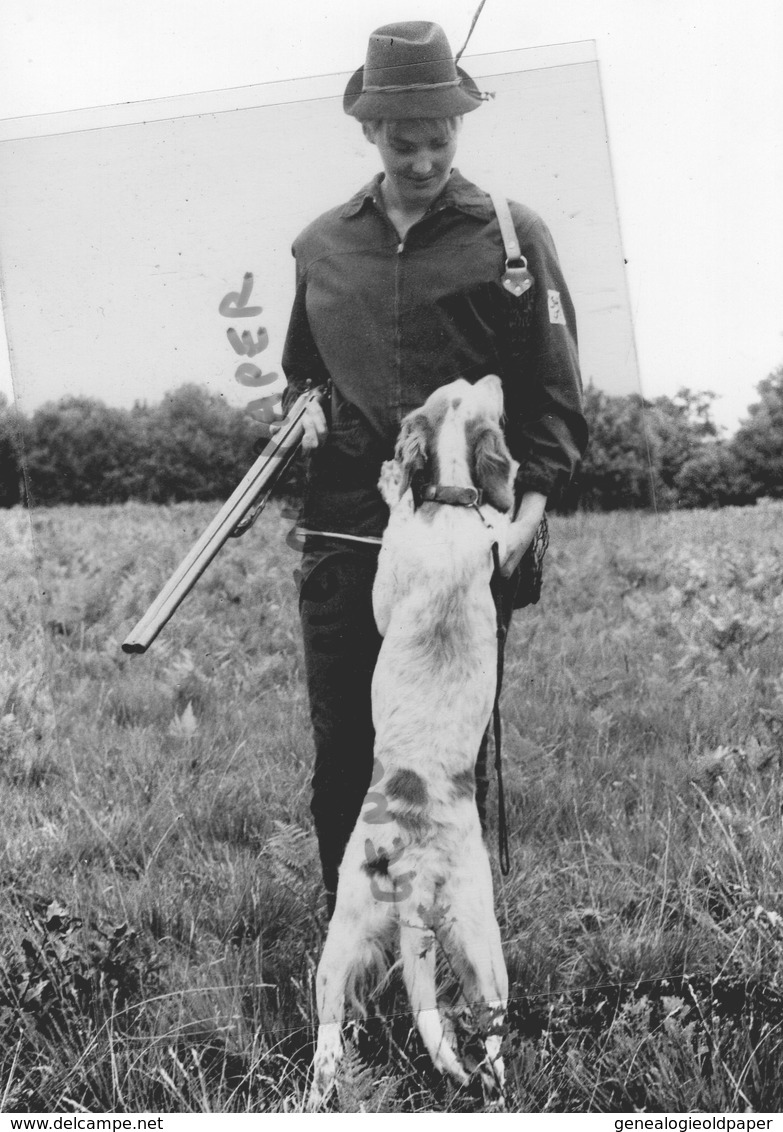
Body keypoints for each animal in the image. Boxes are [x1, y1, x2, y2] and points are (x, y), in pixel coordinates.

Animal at [310, 375, 515, 1109]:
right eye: (465, 385)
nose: (497, 377)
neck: (452, 502)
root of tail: (414, 865)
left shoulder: (386, 584)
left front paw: (392, 478)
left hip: (394, 927)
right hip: (425, 938)